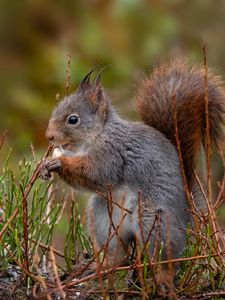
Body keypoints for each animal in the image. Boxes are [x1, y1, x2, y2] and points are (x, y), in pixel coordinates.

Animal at [40, 58, 225, 264]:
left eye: (73, 119)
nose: (49, 136)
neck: (96, 136)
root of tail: (187, 214)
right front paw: (45, 165)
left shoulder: (112, 152)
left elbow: (95, 173)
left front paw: (59, 162)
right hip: (104, 220)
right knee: (117, 249)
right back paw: (108, 265)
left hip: (153, 219)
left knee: (162, 253)